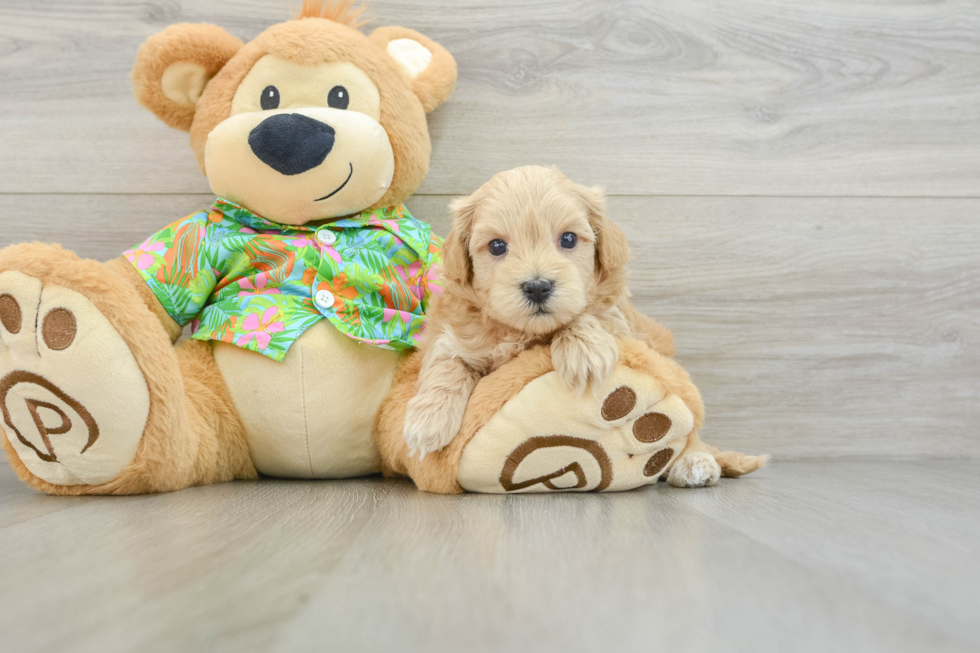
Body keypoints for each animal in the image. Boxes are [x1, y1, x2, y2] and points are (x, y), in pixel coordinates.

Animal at [398, 166, 672, 456]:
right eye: (497, 246)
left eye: (568, 239)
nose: (537, 287)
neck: (522, 332)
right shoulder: (454, 333)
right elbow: (446, 361)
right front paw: (428, 422)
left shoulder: (623, 326)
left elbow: (589, 314)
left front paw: (584, 354)